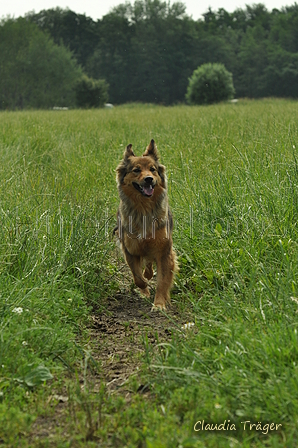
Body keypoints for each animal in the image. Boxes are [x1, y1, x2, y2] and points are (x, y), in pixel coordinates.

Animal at [114, 140, 177, 312]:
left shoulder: (164, 251)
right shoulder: (130, 249)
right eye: (136, 170)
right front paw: (145, 290)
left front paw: (159, 304)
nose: (149, 179)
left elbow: (162, 281)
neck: (143, 209)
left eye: (152, 169)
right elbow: (137, 277)